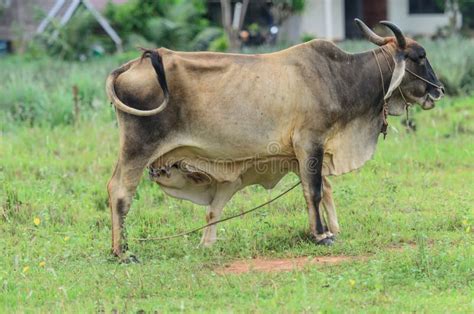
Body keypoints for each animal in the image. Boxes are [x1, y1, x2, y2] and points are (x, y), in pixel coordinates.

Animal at [106, 18, 444, 262]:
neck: (340, 77)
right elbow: (314, 191)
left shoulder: (303, 152)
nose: (438, 89)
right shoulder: (310, 141)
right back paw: (123, 253)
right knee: (121, 191)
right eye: (420, 56)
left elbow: (323, 189)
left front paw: (331, 230)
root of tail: (136, 63)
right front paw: (321, 235)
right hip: (138, 145)